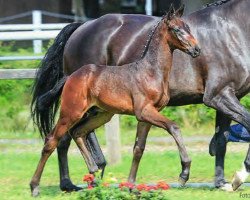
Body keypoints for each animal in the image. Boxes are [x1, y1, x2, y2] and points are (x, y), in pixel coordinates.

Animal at [32, 0, 250, 192]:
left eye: (188, 28)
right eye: (177, 30)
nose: (197, 50)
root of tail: (80, 27)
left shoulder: (230, 96)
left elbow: (221, 140)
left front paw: (224, 182)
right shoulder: (217, 95)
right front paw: (233, 177)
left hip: (97, 111)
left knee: (74, 134)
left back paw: (87, 176)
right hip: (77, 108)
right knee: (62, 138)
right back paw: (70, 181)